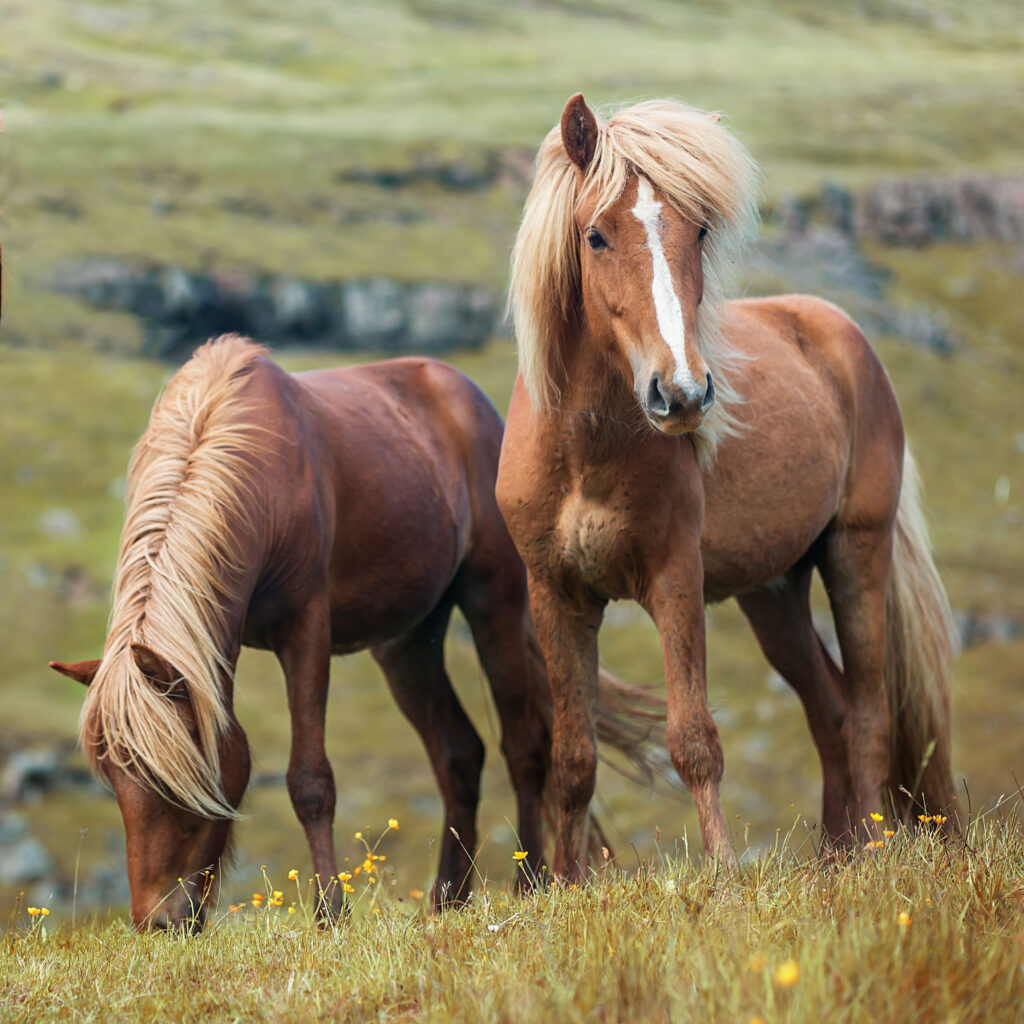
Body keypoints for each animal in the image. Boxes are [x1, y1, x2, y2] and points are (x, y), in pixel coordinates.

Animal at [49, 335, 655, 929]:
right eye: (112, 778)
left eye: (172, 779)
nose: (157, 921)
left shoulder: (305, 632)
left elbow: (310, 781)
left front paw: (329, 915)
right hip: (407, 645)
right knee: (459, 754)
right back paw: (448, 901)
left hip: (494, 607)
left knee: (523, 745)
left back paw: (530, 884)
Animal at [497, 97, 958, 880]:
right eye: (595, 235)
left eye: (700, 230)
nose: (681, 393)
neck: (585, 451)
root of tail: (841, 334)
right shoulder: (556, 593)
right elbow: (574, 759)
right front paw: (564, 885)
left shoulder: (674, 578)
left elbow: (695, 740)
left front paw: (721, 879)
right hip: (773, 592)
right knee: (831, 710)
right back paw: (835, 859)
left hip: (854, 555)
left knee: (868, 714)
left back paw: (869, 856)